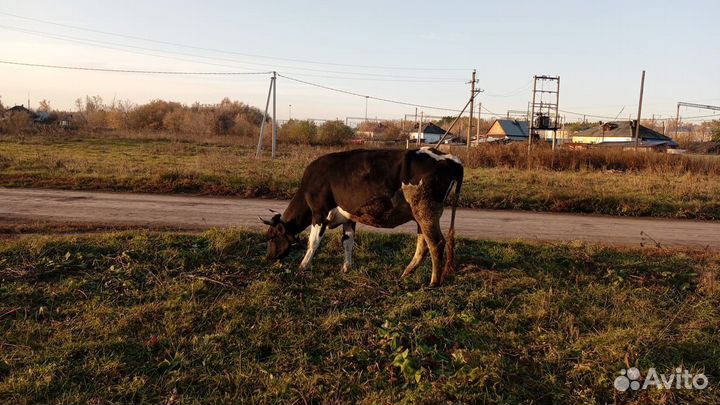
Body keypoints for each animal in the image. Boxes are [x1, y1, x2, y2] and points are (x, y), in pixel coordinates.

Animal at [260, 146, 463, 287]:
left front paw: (302, 267)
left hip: (426, 211)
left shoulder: (319, 213)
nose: (268, 258)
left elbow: (313, 242)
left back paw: (433, 282)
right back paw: (406, 273)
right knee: (423, 244)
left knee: (436, 243)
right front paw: (346, 269)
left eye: (271, 236)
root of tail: (449, 158)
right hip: (420, 216)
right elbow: (347, 242)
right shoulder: (349, 218)